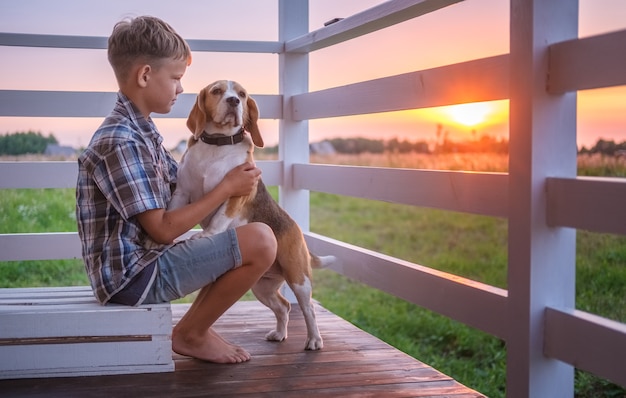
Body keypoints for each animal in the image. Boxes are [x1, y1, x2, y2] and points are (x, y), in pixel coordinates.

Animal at [166, 79, 334, 350]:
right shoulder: (182, 193)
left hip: (299, 278)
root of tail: (297, 229)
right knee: (284, 307)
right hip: (262, 287)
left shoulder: (235, 194)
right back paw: (279, 333)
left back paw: (314, 339)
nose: (233, 101)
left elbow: (219, 218)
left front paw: (204, 235)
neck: (217, 145)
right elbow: (171, 213)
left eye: (242, 95)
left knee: (308, 308)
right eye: (217, 91)